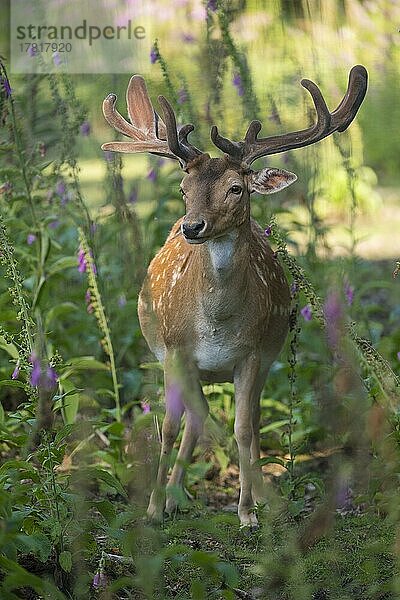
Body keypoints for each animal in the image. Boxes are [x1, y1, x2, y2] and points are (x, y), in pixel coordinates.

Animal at [101, 63, 368, 528]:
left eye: (235, 188)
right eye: (184, 190)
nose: (193, 227)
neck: (216, 324)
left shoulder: (254, 354)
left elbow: (243, 428)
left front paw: (248, 513)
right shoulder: (174, 350)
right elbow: (169, 428)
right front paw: (151, 509)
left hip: (265, 358)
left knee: (247, 418)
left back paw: (261, 497)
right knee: (198, 416)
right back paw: (172, 498)